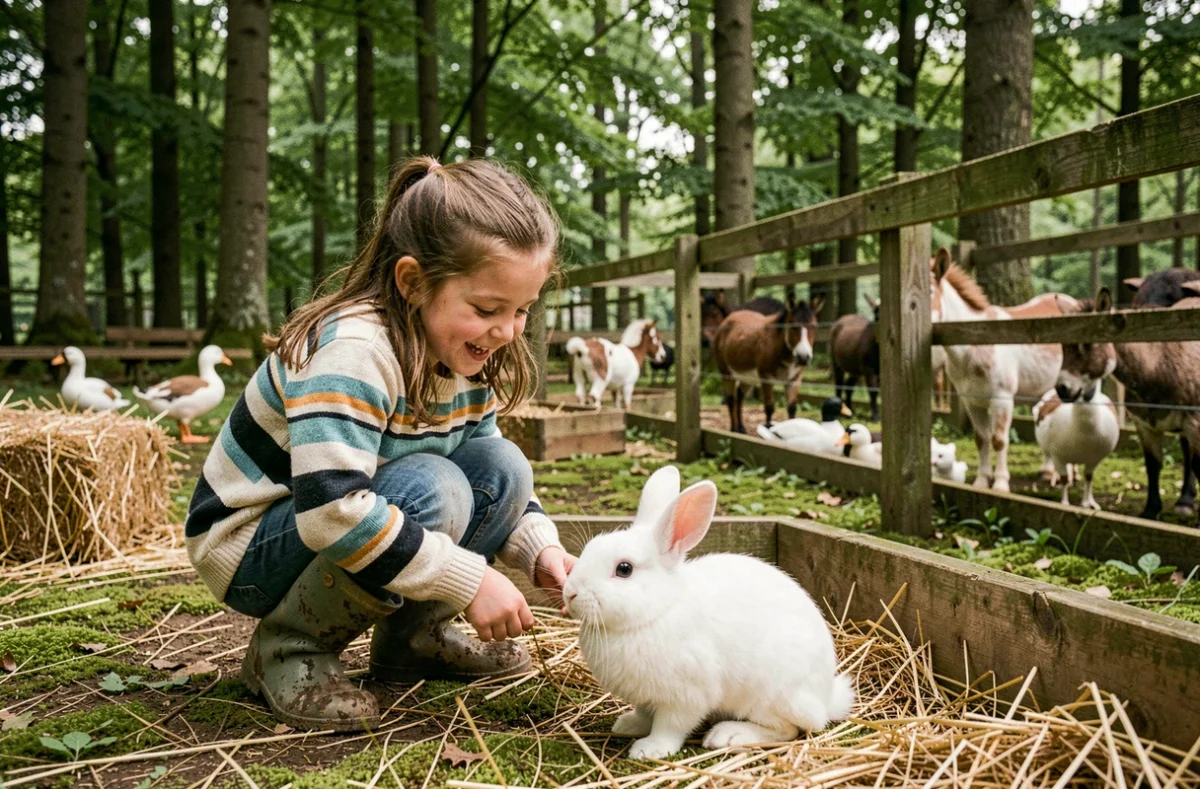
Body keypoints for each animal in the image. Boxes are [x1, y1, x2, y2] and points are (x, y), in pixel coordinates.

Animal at [563, 465, 855, 760]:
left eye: (624, 569)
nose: (570, 592)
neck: (657, 612)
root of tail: (825, 698)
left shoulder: (686, 695)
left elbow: (670, 726)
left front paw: (650, 749)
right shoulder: (646, 696)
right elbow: (645, 714)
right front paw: (628, 725)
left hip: (769, 695)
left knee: (789, 729)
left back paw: (729, 735)